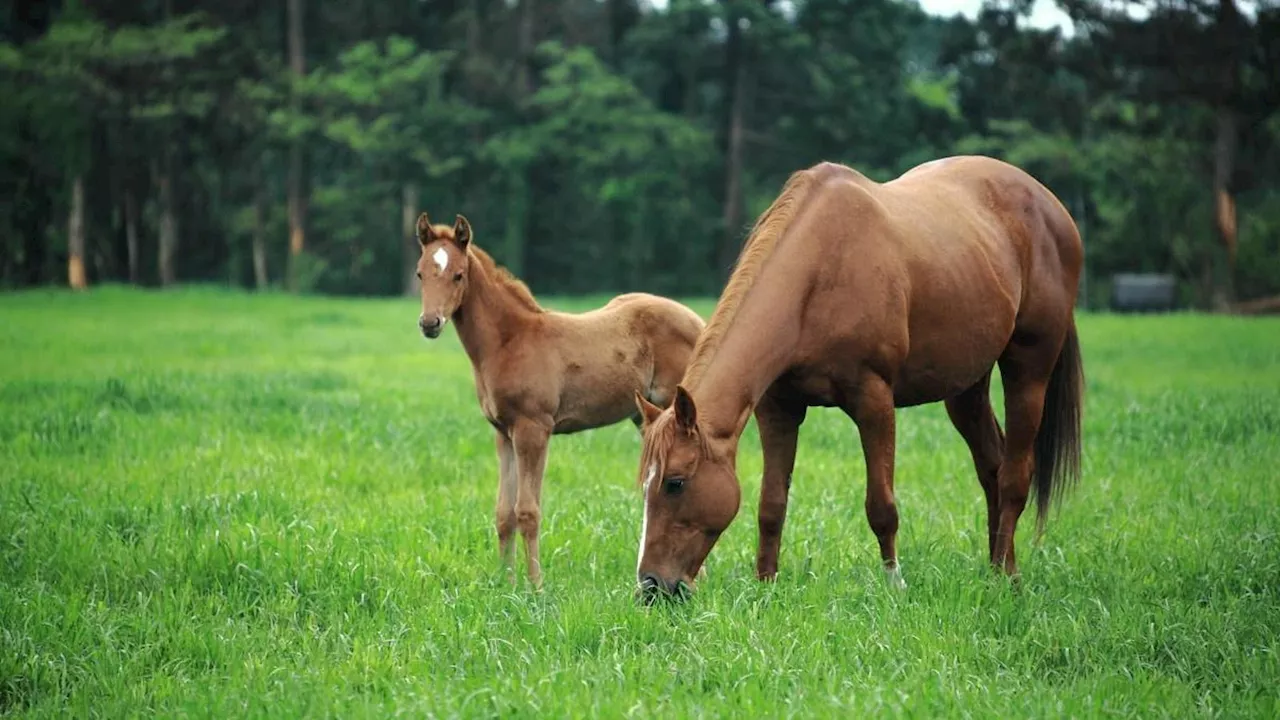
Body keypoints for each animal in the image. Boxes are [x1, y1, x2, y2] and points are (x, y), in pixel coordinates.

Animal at [414, 210, 706, 586]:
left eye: (458, 275)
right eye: (420, 272)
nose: (429, 323)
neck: (510, 341)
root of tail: (698, 321)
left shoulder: (533, 430)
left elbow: (528, 511)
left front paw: (536, 587)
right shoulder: (503, 434)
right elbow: (504, 513)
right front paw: (505, 584)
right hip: (647, 418)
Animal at [629, 154, 1080, 597]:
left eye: (675, 482)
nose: (651, 586)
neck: (819, 273)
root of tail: (1050, 206)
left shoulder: (873, 400)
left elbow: (881, 506)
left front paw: (894, 585)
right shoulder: (778, 409)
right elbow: (771, 504)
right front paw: (766, 585)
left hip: (1029, 370)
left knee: (1014, 477)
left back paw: (1006, 578)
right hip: (966, 388)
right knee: (991, 468)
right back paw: (993, 570)